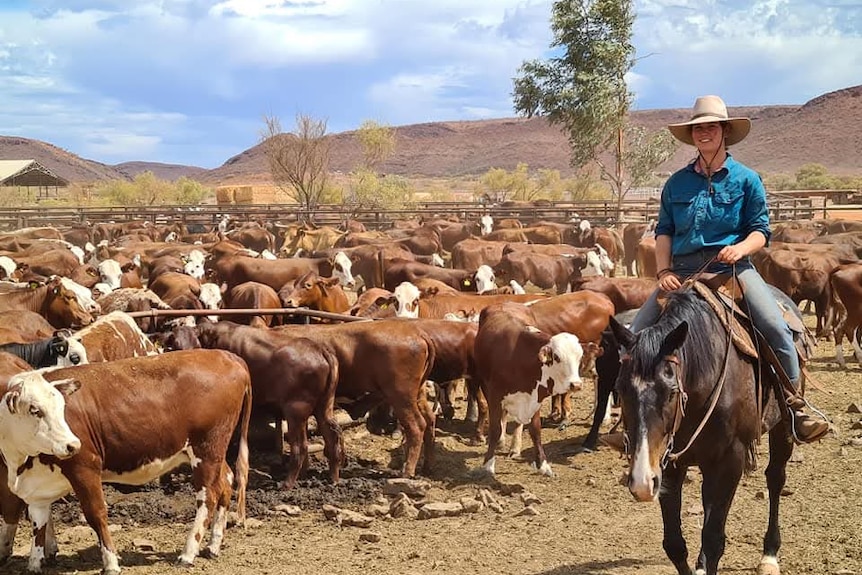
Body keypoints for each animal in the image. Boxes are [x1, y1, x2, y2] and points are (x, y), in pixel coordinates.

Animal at [0, 349, 252, 574]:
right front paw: (35, 563)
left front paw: (111, 563)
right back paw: (213, 545)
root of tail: (228, 356)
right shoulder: (37, 486)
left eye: (62, 407)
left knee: (208, 495)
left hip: (206, 449)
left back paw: (188, 553)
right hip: (214, 453)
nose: (72, 444)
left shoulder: (85, 466)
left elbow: (96, 514)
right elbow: (37, 522)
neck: (20, 463)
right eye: (35, 410)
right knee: (226, 482)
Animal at [473, 302, 585, 477]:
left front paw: (543, 465)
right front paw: (488, 465)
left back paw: (514, 447)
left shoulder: (535, 397)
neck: (520, 358)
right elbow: (495, 429)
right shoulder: (495, 396)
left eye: (579, 358)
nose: (576, 384)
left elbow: (535, 430)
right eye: (557, 357)